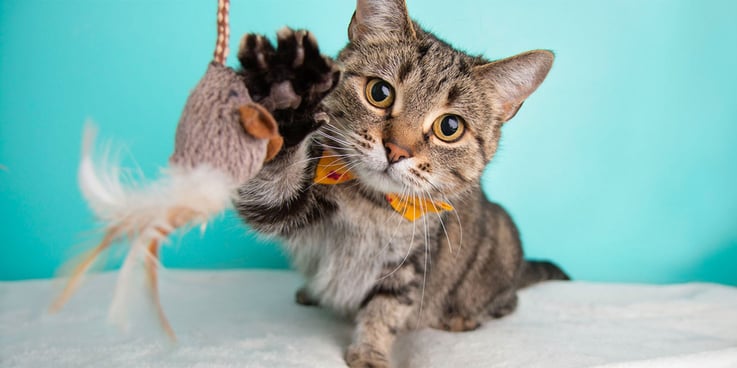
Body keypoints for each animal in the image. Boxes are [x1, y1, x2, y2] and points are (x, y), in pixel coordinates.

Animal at [233, 1, 568, 366]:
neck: (373, 205)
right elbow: (274, 182)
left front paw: (369, 351)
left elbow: (385, 309)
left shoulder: (410, 264)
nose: (396, 150)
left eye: (449, 127)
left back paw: (460, 317)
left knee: (506, 301)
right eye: (379, 92)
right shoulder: (286, 202)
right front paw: (286, 97)